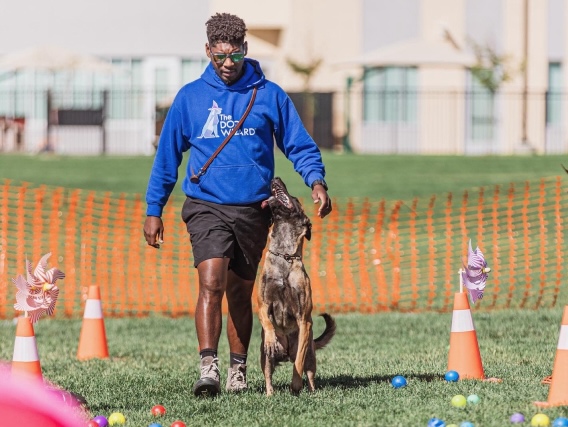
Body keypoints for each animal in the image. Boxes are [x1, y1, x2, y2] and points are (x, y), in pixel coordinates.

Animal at [258, 176, 338, 396]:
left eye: (294, 198)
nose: (276, 177)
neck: (285, 255)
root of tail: (285, 353)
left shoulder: (305, 320)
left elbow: (299, 363)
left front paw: (295, 384)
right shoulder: (263, 304)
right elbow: (266, 320)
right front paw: (271, 339)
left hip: (311, 356)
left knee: (308, 371)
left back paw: (310, 390)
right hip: (263, 358)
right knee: (268, 375)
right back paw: (270, 394)